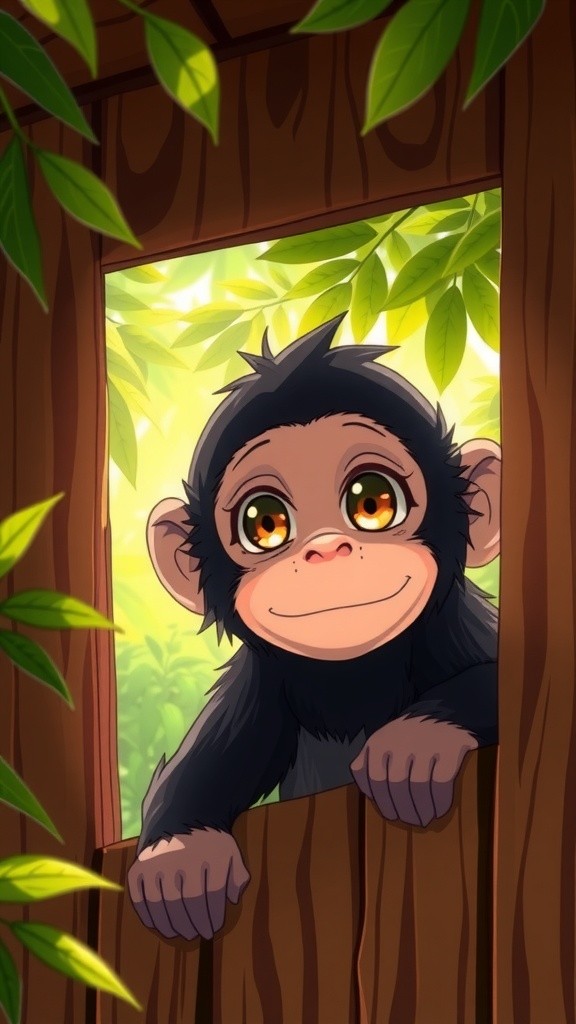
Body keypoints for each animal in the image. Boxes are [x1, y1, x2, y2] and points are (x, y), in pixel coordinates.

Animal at [128, 314, 500, 942]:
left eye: (373, 501)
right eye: (264, 522)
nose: (327, 550)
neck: (355, 677)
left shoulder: (455, 624)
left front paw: (416, 740)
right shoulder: (261, 683)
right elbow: (212, 756)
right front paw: (179, 855)